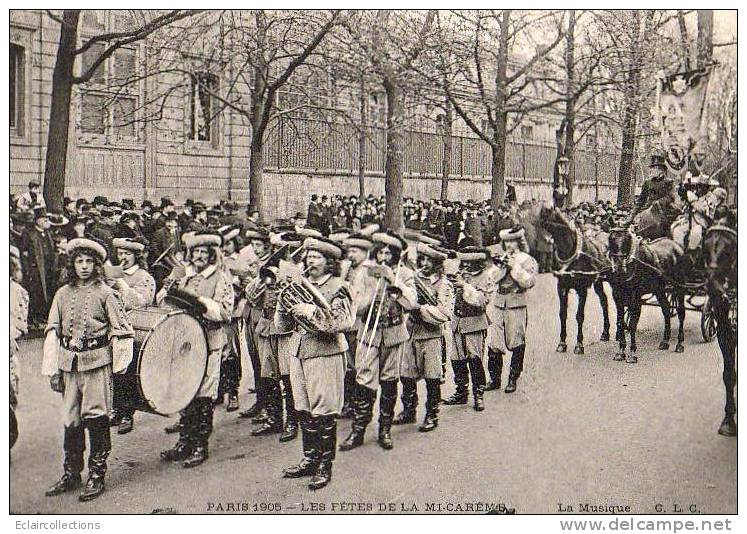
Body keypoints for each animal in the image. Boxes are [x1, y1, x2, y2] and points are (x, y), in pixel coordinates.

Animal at [536, 207, 612, 354]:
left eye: (546, 217)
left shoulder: (582, 288)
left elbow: (579, 315)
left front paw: (579, 344)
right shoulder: (562, 286)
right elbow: (562, 313)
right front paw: (562, 343)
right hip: (598, 281)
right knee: (604, 301)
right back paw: (605, 333)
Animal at [604, 230, 688, 364]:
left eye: (626, 239)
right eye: (612, 239)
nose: (619, 266)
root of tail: (676, 246)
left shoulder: (635, 297)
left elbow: (632, 324)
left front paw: (632, 353)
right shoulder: (617, 296)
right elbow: (620, 323)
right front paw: (621, 352)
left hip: (679, 287)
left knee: (681, 313)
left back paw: (680, 344)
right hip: (659, 289)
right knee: (666, 310)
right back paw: (665, 341)